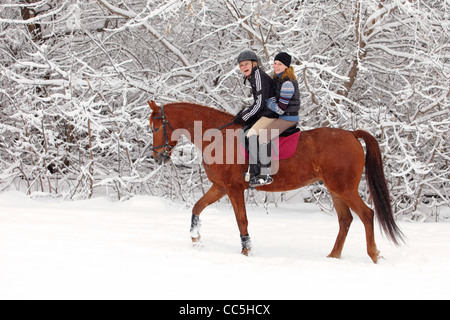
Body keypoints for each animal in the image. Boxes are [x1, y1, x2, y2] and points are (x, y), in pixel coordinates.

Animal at [149, 101, 404, 264]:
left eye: (156, 126)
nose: (157, 156)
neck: (219, 137)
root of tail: (351, 134)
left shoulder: (233, 188)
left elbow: (242, 220)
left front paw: (246, 252)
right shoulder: (219, 187)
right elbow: (197, 207)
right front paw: (196, 239)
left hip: (344, 188)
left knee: (366, 215)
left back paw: (374, 255)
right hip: (335, 190)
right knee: (346, 220)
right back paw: (333, 257)